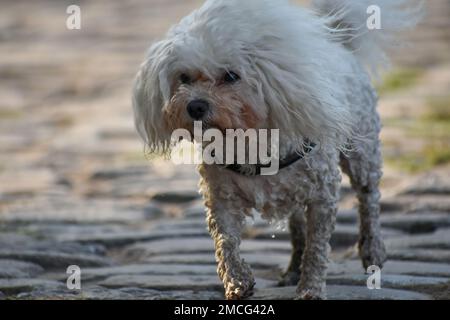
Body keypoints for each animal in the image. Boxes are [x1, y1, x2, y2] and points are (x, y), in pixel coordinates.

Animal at [134, 0, 422, 300]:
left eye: (231, 76)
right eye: (184, 77)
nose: (195, 106)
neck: (248, 138)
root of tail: (340, 41)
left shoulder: (323, 196)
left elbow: (317, 248)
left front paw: (310, 289)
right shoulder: (221, 196)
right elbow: (226, 242)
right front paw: (238, 282)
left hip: (362, 154)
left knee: (368, 199)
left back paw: (372, 249)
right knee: (297, 226)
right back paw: (293, 269)